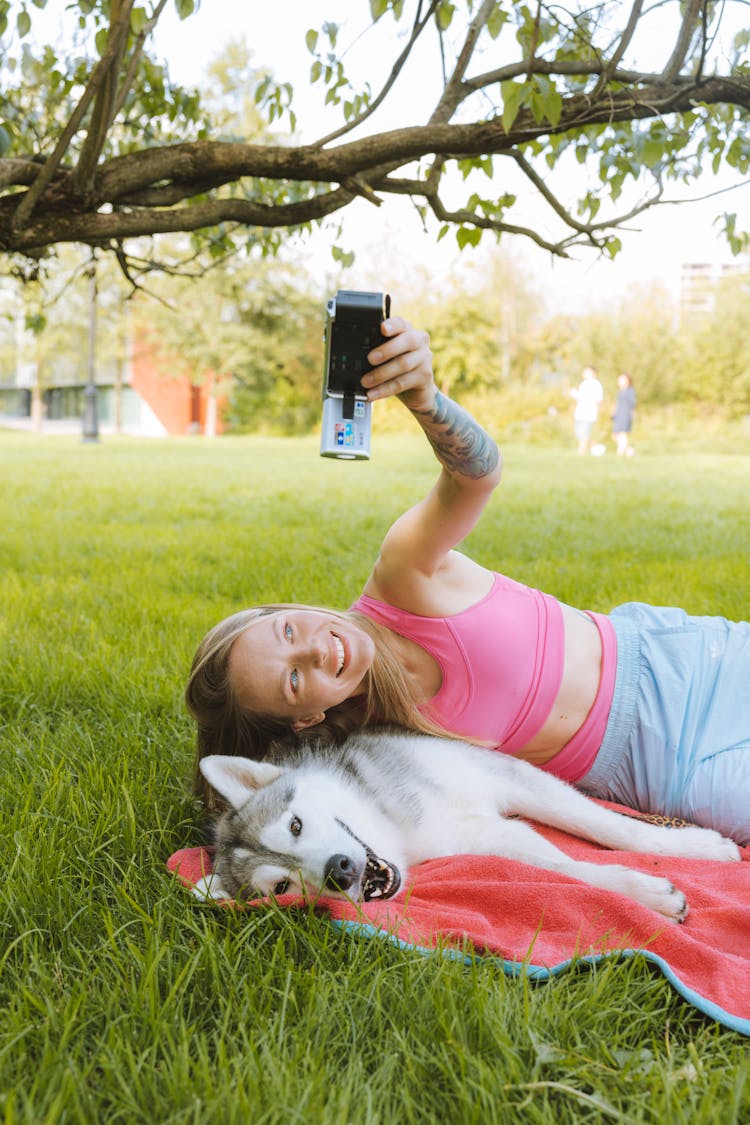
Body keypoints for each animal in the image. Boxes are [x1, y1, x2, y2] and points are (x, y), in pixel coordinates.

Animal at [196, 729, 742, 922]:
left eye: (294, 825)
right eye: (281, 886)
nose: (340, 869)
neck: (394, 821)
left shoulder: (509, 774)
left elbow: (608, 827)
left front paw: (696, 847)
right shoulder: (486, 838)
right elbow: (569, 868)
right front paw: (646, 893)